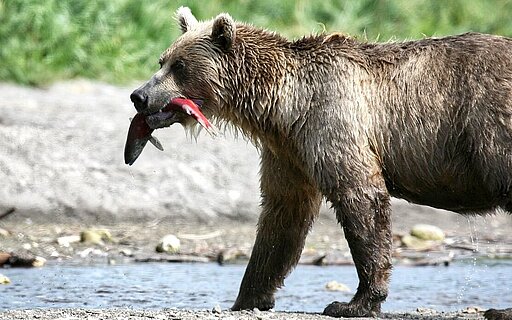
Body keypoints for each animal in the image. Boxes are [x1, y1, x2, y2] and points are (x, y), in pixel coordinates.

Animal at [127, 6, 512, 318]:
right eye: (162, 60)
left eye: (179, 65)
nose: (138, 95)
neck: (283, 107)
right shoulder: (289, 151)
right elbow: (283, 215)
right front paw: (247, 297)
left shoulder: (333, 119)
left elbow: (360, 199)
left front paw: (353, 303)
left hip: (492, 129)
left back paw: (499, 309)